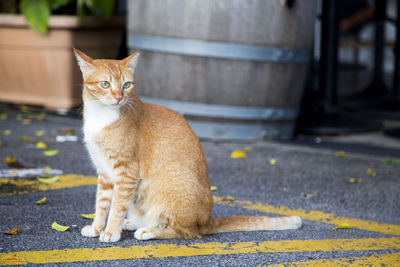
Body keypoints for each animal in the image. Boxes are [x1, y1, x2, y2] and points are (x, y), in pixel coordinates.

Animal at [73, 48, 302, 243]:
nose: (119, 98)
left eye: (127, 85)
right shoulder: (104, 172)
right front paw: (97, 228)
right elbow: (102, 204)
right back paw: (134, 223)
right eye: (105, 84)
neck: (101, 117)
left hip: (170, 186)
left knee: (186, 232)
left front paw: (111, 231)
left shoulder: (126, 171)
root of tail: (207, 220)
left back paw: (149, 230)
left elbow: (116, 207)